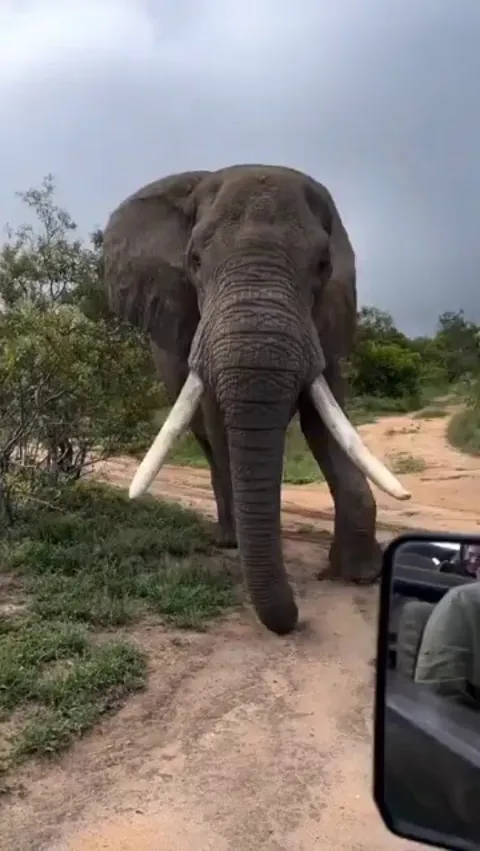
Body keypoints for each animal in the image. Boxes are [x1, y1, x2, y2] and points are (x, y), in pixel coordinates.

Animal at [103, 164, 410, 636]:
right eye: (194, 262)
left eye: (323, 265)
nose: (296, 619)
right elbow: (220, 422)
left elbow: (324, 423)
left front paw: (359, 575)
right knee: (208, 443)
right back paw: (229, 539)